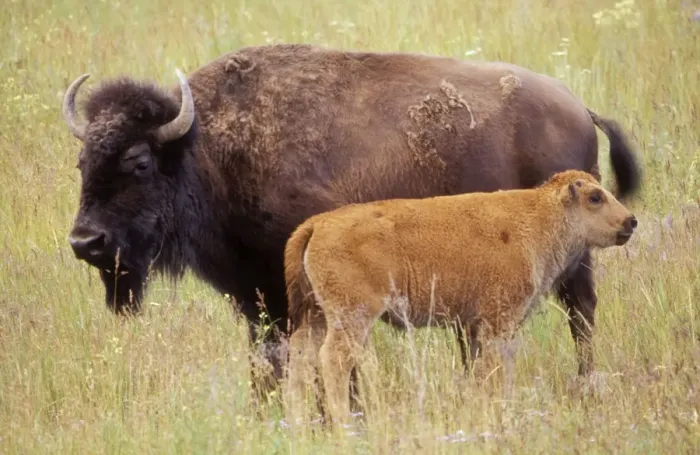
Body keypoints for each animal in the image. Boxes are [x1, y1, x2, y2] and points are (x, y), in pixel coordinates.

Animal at [283, 169, 638, 425]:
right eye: (595, 197)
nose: (630, 221)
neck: (538, 218)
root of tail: (317, 224)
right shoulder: (497, 322)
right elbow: (495, 370)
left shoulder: (478, 326)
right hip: (351, 317)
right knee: (333, 359)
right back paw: (343, 423)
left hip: (316, 315)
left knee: (300, 356)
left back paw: (297, 422)